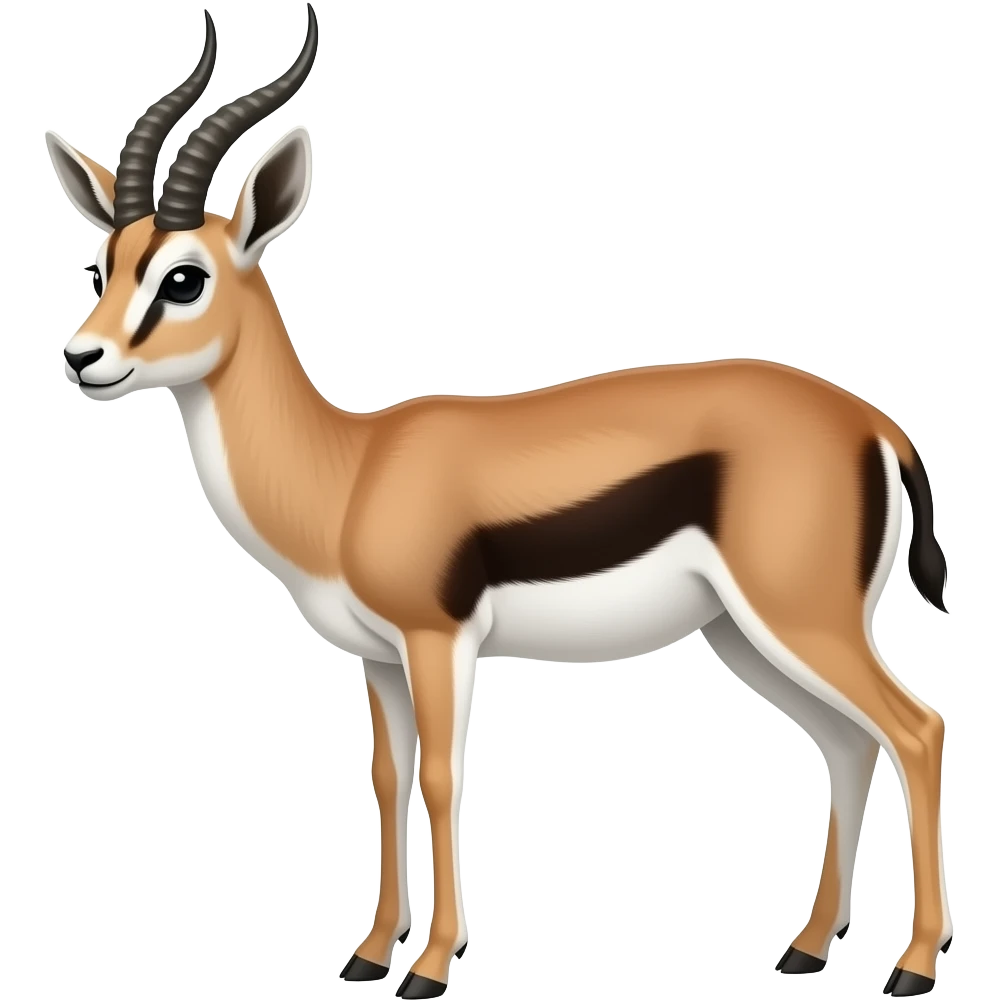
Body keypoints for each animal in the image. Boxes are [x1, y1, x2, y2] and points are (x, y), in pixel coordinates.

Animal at [44, 7, 954, 998]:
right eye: (102, 265)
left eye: (184, 277)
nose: (83, 358)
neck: (348, 472)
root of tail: (875, 422)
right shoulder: (379, 658)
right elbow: (387, 777)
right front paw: (369, 954)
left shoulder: (438, 640)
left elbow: (443, 776)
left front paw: (432, 966)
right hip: (746, 633)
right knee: (848, 744)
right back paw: (807, 948)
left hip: (801, 618)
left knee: (916, 728)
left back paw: (911, 967)